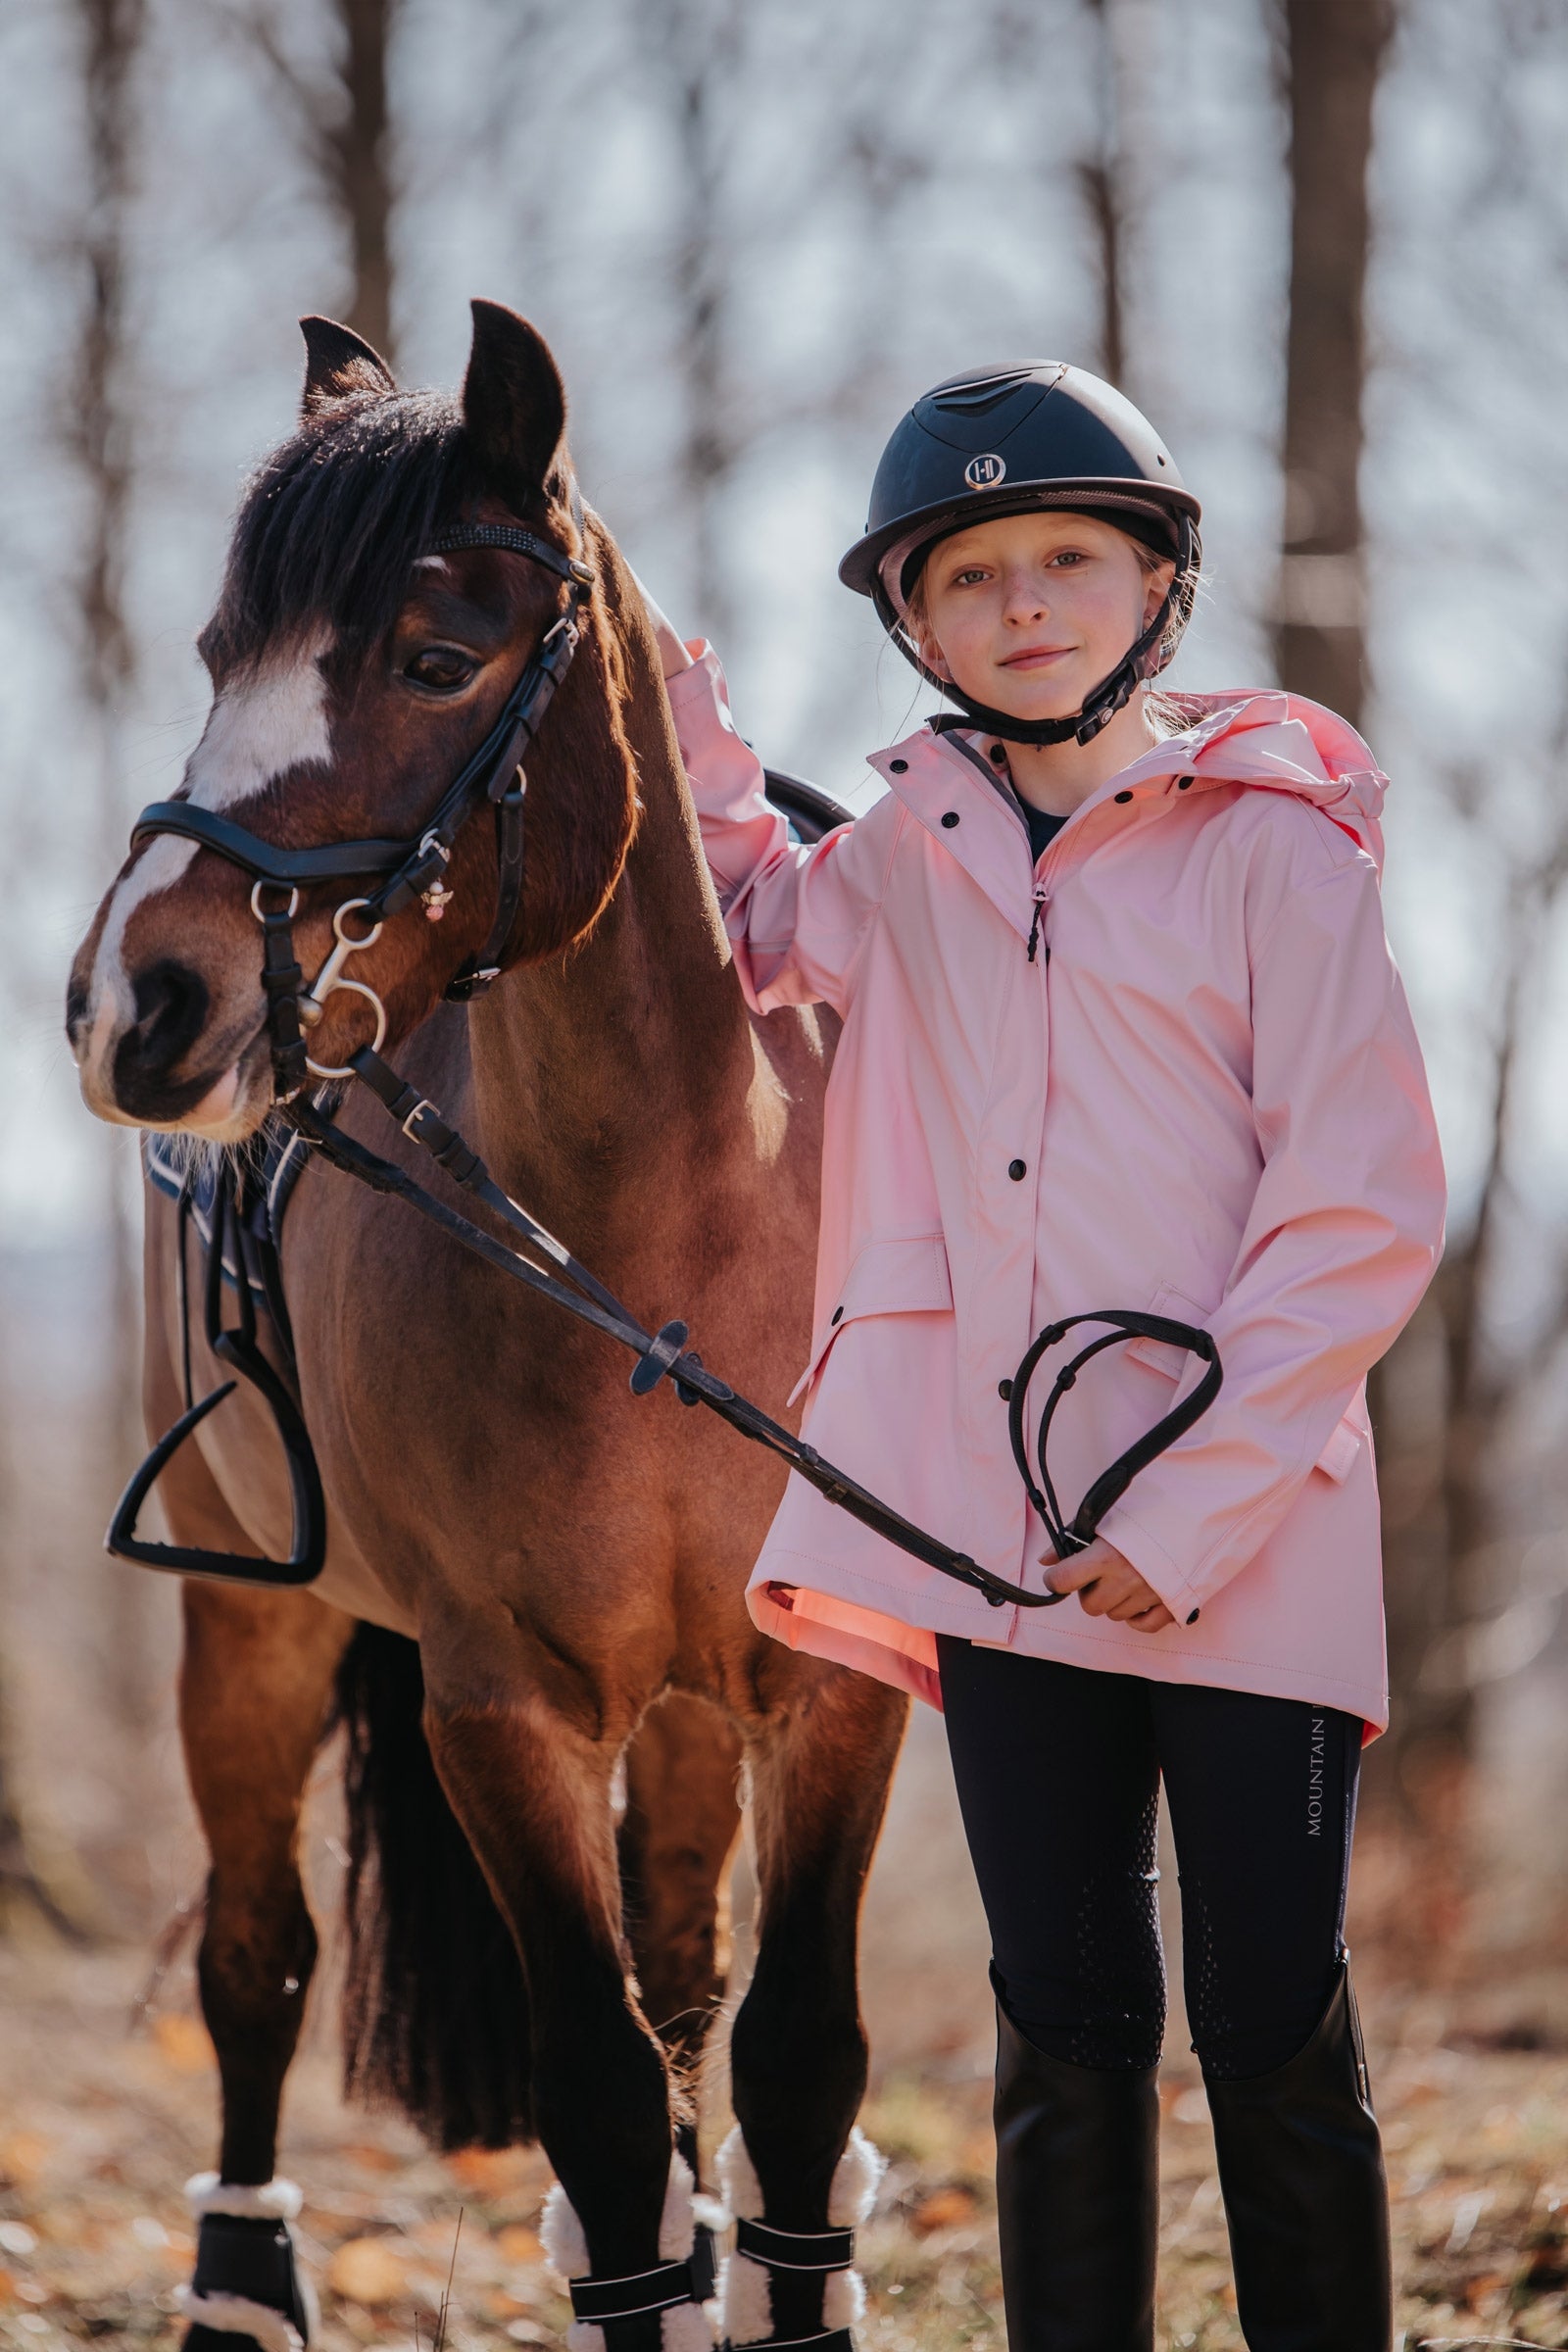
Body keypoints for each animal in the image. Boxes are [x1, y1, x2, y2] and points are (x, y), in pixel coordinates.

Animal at [67, 300, 908, 2352]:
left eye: (437, 659)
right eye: (218, 657)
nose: (137, 1003)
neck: (660, 1245)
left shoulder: (828, 1685)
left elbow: (792, 2067)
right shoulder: (500, 1704)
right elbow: (595, 2098)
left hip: (680, 1708)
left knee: (684, 1973)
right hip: (250, 1629)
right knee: (260, 1963)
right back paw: (243, 2281)